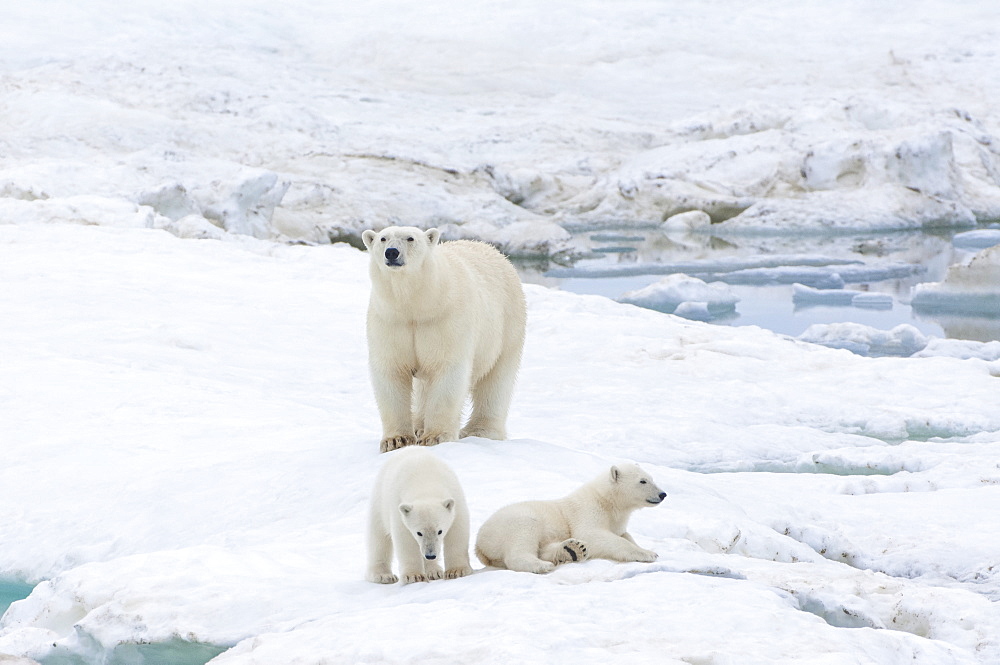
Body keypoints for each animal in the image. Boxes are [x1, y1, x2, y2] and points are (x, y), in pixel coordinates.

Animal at [364, 227, 528, 452]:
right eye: (383, 238)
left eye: (410, 238)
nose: (392, 252)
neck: (416, 306)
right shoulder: (391, 322)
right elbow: (391, 371)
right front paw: (396, 440)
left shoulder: (446, 320)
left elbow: (447, 370)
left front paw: (436, 437)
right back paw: (418, 425)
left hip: (508, 324)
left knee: (497, 378)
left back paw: (480, 430)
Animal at [370, 446, 474, 580]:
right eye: (419, 533)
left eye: (440, 531)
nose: (430, 555)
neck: (425, 483)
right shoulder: (398, 506)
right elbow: (405, 538)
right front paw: (413, 576)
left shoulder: (455, 496)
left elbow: (457, 531)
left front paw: (456, 571)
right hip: (380, 502)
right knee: (378, 538)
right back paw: (383, 576)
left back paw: (434, 572)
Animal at [474, 462, 664, 576]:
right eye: (643, 481)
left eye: (651, 478)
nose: (663, 494)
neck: (607, 501)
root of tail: (479, 545)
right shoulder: (588, 510)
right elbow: (592, 535)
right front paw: (647, 554)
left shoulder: (617, 521)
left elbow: (625, 535)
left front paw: (645, 548)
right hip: (513, 521)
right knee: (523, 538)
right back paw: (542, 565)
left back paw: (572, 549)